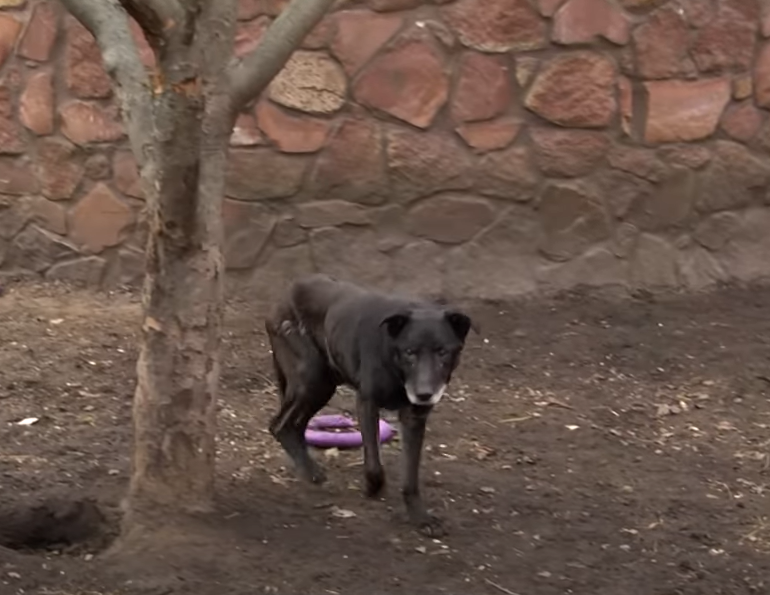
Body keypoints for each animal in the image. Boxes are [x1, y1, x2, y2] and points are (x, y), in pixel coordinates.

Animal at [264, 274, 472, 540]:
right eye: (410, 352)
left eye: (443, 352)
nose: (424, 394)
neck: (394, 362)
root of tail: (287, 292)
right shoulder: (367, 403)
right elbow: (374, 464)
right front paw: (374, 488)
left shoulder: (414, 418)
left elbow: (411, 476)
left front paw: (420, 517)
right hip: (313, 380)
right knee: (279, 425)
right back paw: (311, 473)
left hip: (323, 384)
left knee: (293, 426)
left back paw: (307, 468)